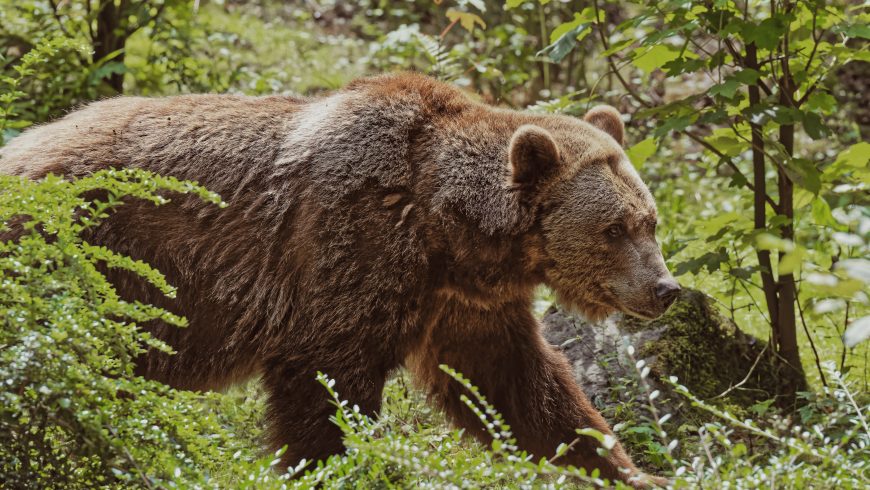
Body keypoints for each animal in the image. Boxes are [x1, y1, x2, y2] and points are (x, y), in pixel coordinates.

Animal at [0, 72, 680, 486]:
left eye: (650, 221)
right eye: (615, 228)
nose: (665, 289)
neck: (447, 230)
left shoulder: (462, 303)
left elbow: (521, 388)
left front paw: (629, 468)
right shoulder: (348, 249)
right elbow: (324, 387)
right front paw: (334, 466)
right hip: (83, 259)